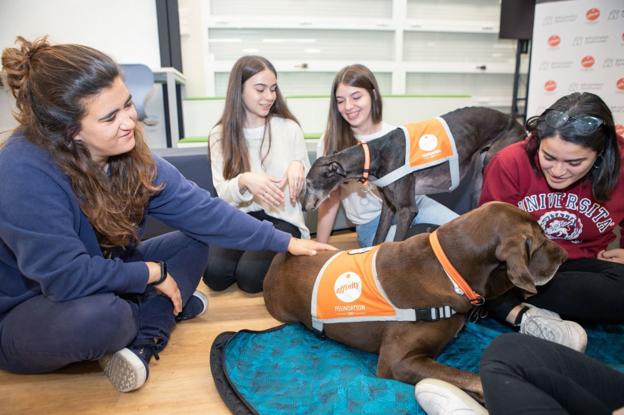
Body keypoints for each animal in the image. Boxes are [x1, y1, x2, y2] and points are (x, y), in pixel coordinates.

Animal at [264, 203, 564, 398]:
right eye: (540, 239)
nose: (564, 256)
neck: (450, 270)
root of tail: (280, 257)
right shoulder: (397, 361)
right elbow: (473, 379)